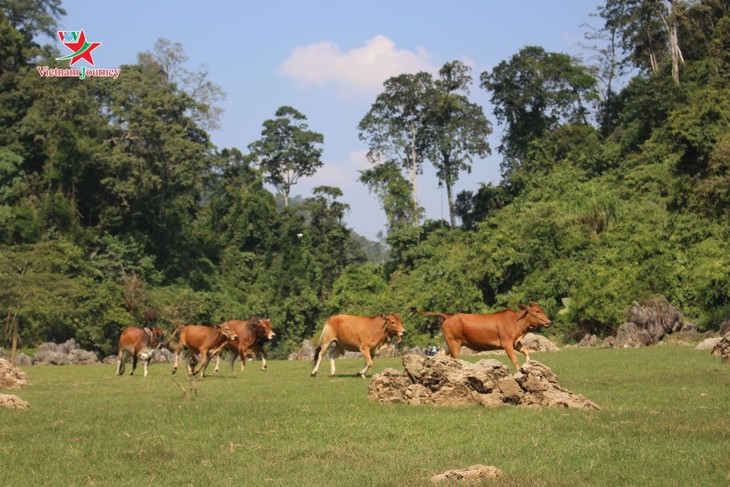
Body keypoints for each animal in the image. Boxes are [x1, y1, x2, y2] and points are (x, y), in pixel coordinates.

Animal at [412, 302, 548, 370]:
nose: (549, 322)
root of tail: (449, 316)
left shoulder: (515, 343)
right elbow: (514, 359)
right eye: (537, 311)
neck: (516, 321)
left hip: (448, 342)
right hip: (454, 342)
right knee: (455, 358)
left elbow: (526, 351)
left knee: (440, 355)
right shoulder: (506, 343)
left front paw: (528, 365)